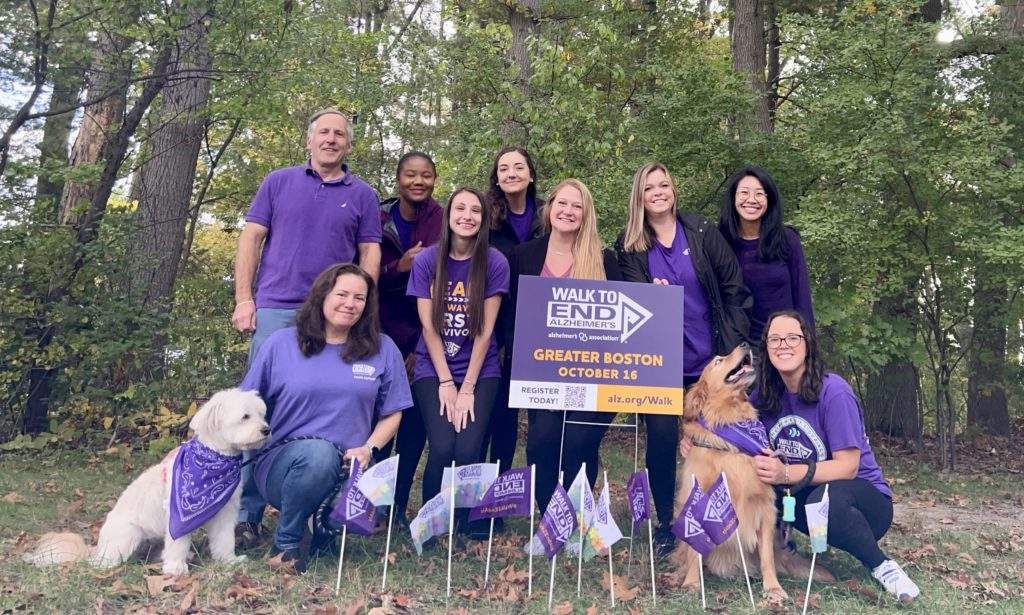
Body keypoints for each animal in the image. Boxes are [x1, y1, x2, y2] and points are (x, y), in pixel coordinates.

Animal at [24, 388, 268, 577]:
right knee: (101, 563)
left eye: (261, 414)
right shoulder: (177, 517)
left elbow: (225, 540)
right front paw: (175, 568)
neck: (214, 461)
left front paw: (228, 561)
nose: (267, 429)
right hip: (129, 536)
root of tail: (98, 548)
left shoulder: (225, 513)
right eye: (245, 416)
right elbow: (178, 543)